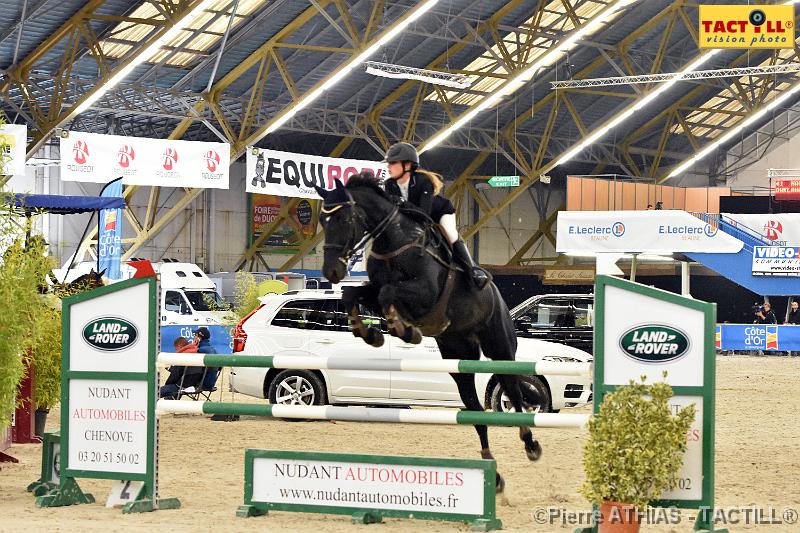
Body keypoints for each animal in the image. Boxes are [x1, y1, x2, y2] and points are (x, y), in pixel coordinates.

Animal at [316, 174, 540, 490]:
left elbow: (388, 292)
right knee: (476, 409)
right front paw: (370, 333)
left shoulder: (425, 293)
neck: (393, 239)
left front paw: (404, 330)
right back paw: (492, 473)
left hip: (500, 348)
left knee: (514, 392)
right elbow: (354, 294)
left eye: (344, 219)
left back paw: (530, 444)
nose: (331, 272)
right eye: (322, 221)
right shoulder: (374, 289)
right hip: (459, 360)